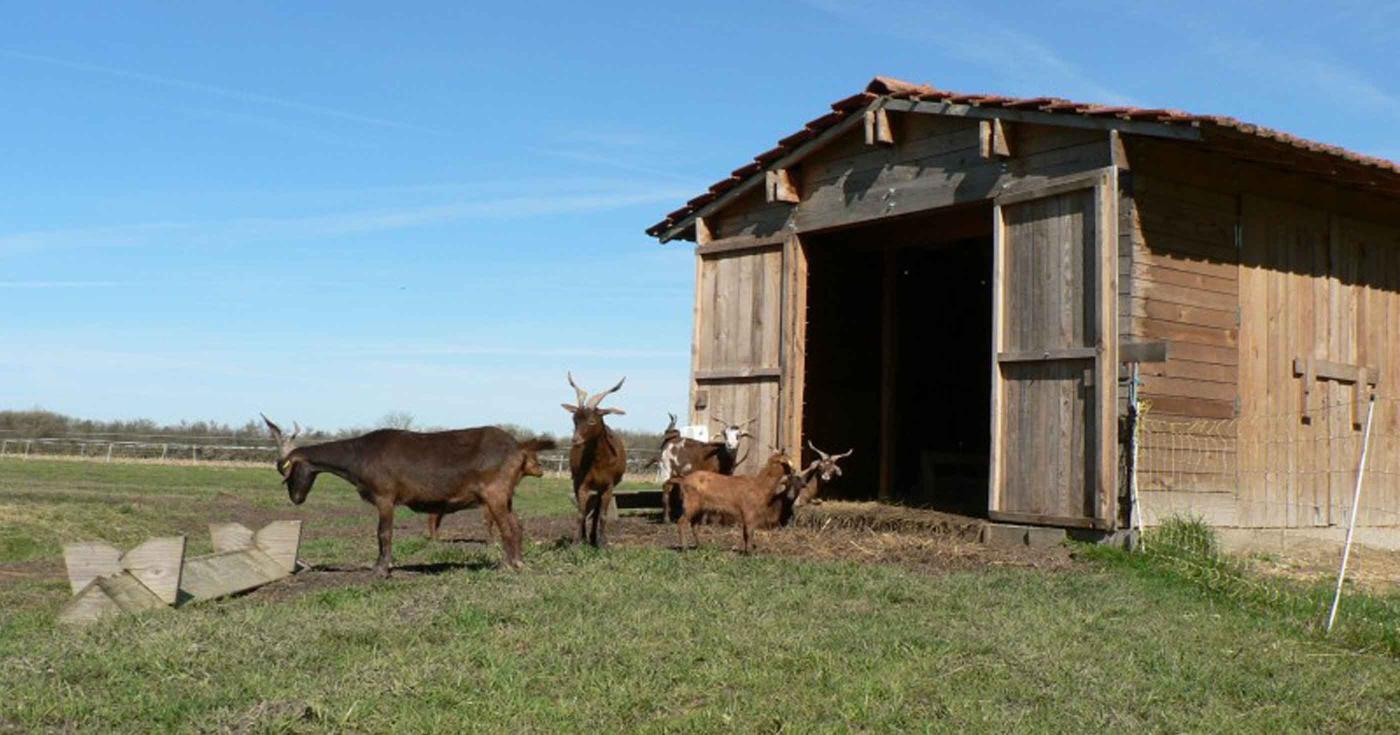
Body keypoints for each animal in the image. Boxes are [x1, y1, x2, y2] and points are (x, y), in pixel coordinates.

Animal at [264, 411, 548, 574]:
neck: (359, 456)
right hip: (505, 495)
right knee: (517, 524)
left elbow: (384, 533)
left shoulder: (385, 497)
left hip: (495, 493)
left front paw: (380, 569)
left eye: (287, 472)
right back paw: (518, 561)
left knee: (508, 526)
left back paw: (511, 565)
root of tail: (519, 448)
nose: (296, 498)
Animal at [562, 372, 630, 543]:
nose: (575, 440)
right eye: (574, 419)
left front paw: (603, 542)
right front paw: (576, 543)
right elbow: (581, 514)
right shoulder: (582, 483)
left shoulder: (608, 486)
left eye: (592, 421)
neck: (600, 462)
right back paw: (586, 538)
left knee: (597, 511)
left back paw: (594, 539)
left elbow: (603, 515)